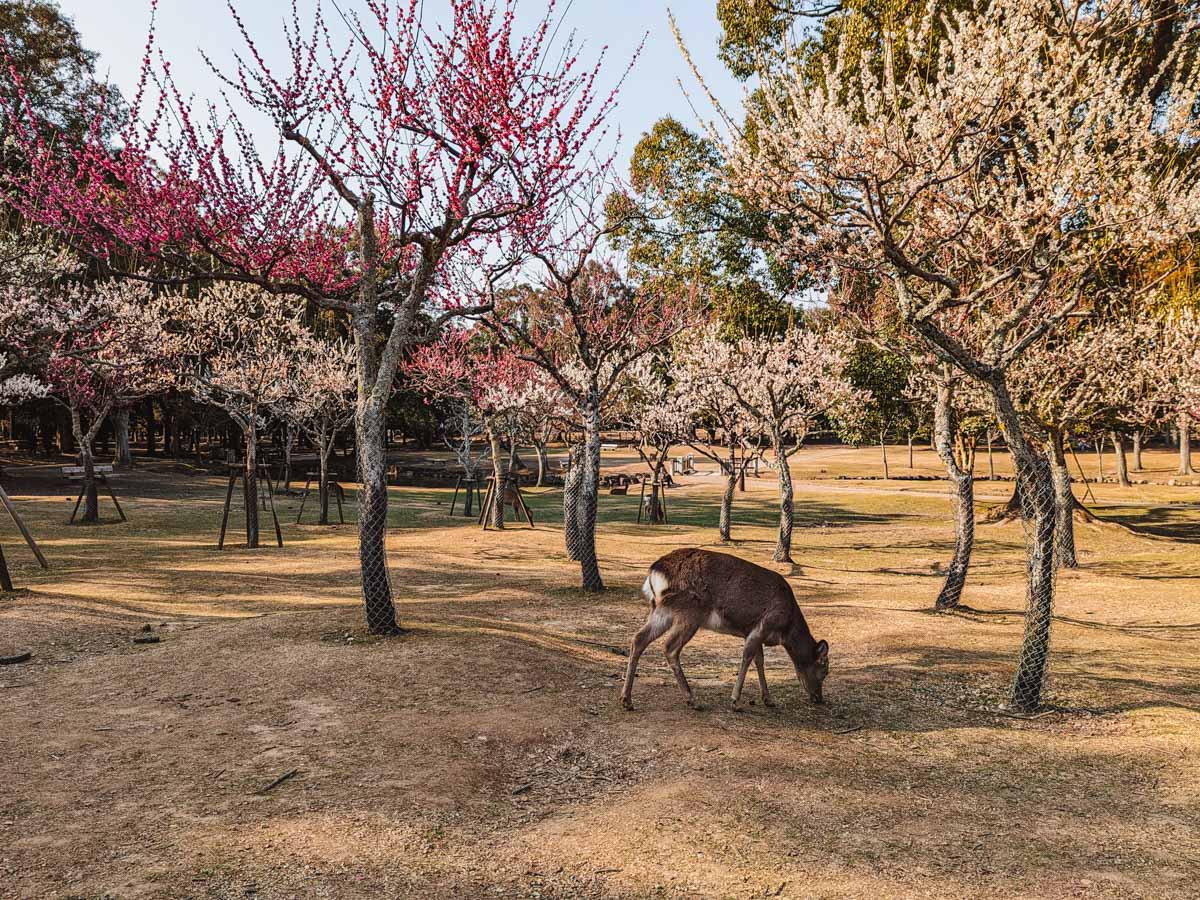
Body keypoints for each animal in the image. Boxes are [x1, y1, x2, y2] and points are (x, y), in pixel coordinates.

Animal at [619, 549, 825, 710]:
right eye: (824, 670)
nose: (819, 698)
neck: (786, 629)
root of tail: (654, 571)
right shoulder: (763, 625)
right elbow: (747, 657)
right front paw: (735, 701)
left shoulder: (751, 632)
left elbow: (759, 660)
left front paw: (768, 699)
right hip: (689, 612)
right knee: (669, 647)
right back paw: (692, 699)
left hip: (662, 611)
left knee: (638, 639)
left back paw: (626, 700)